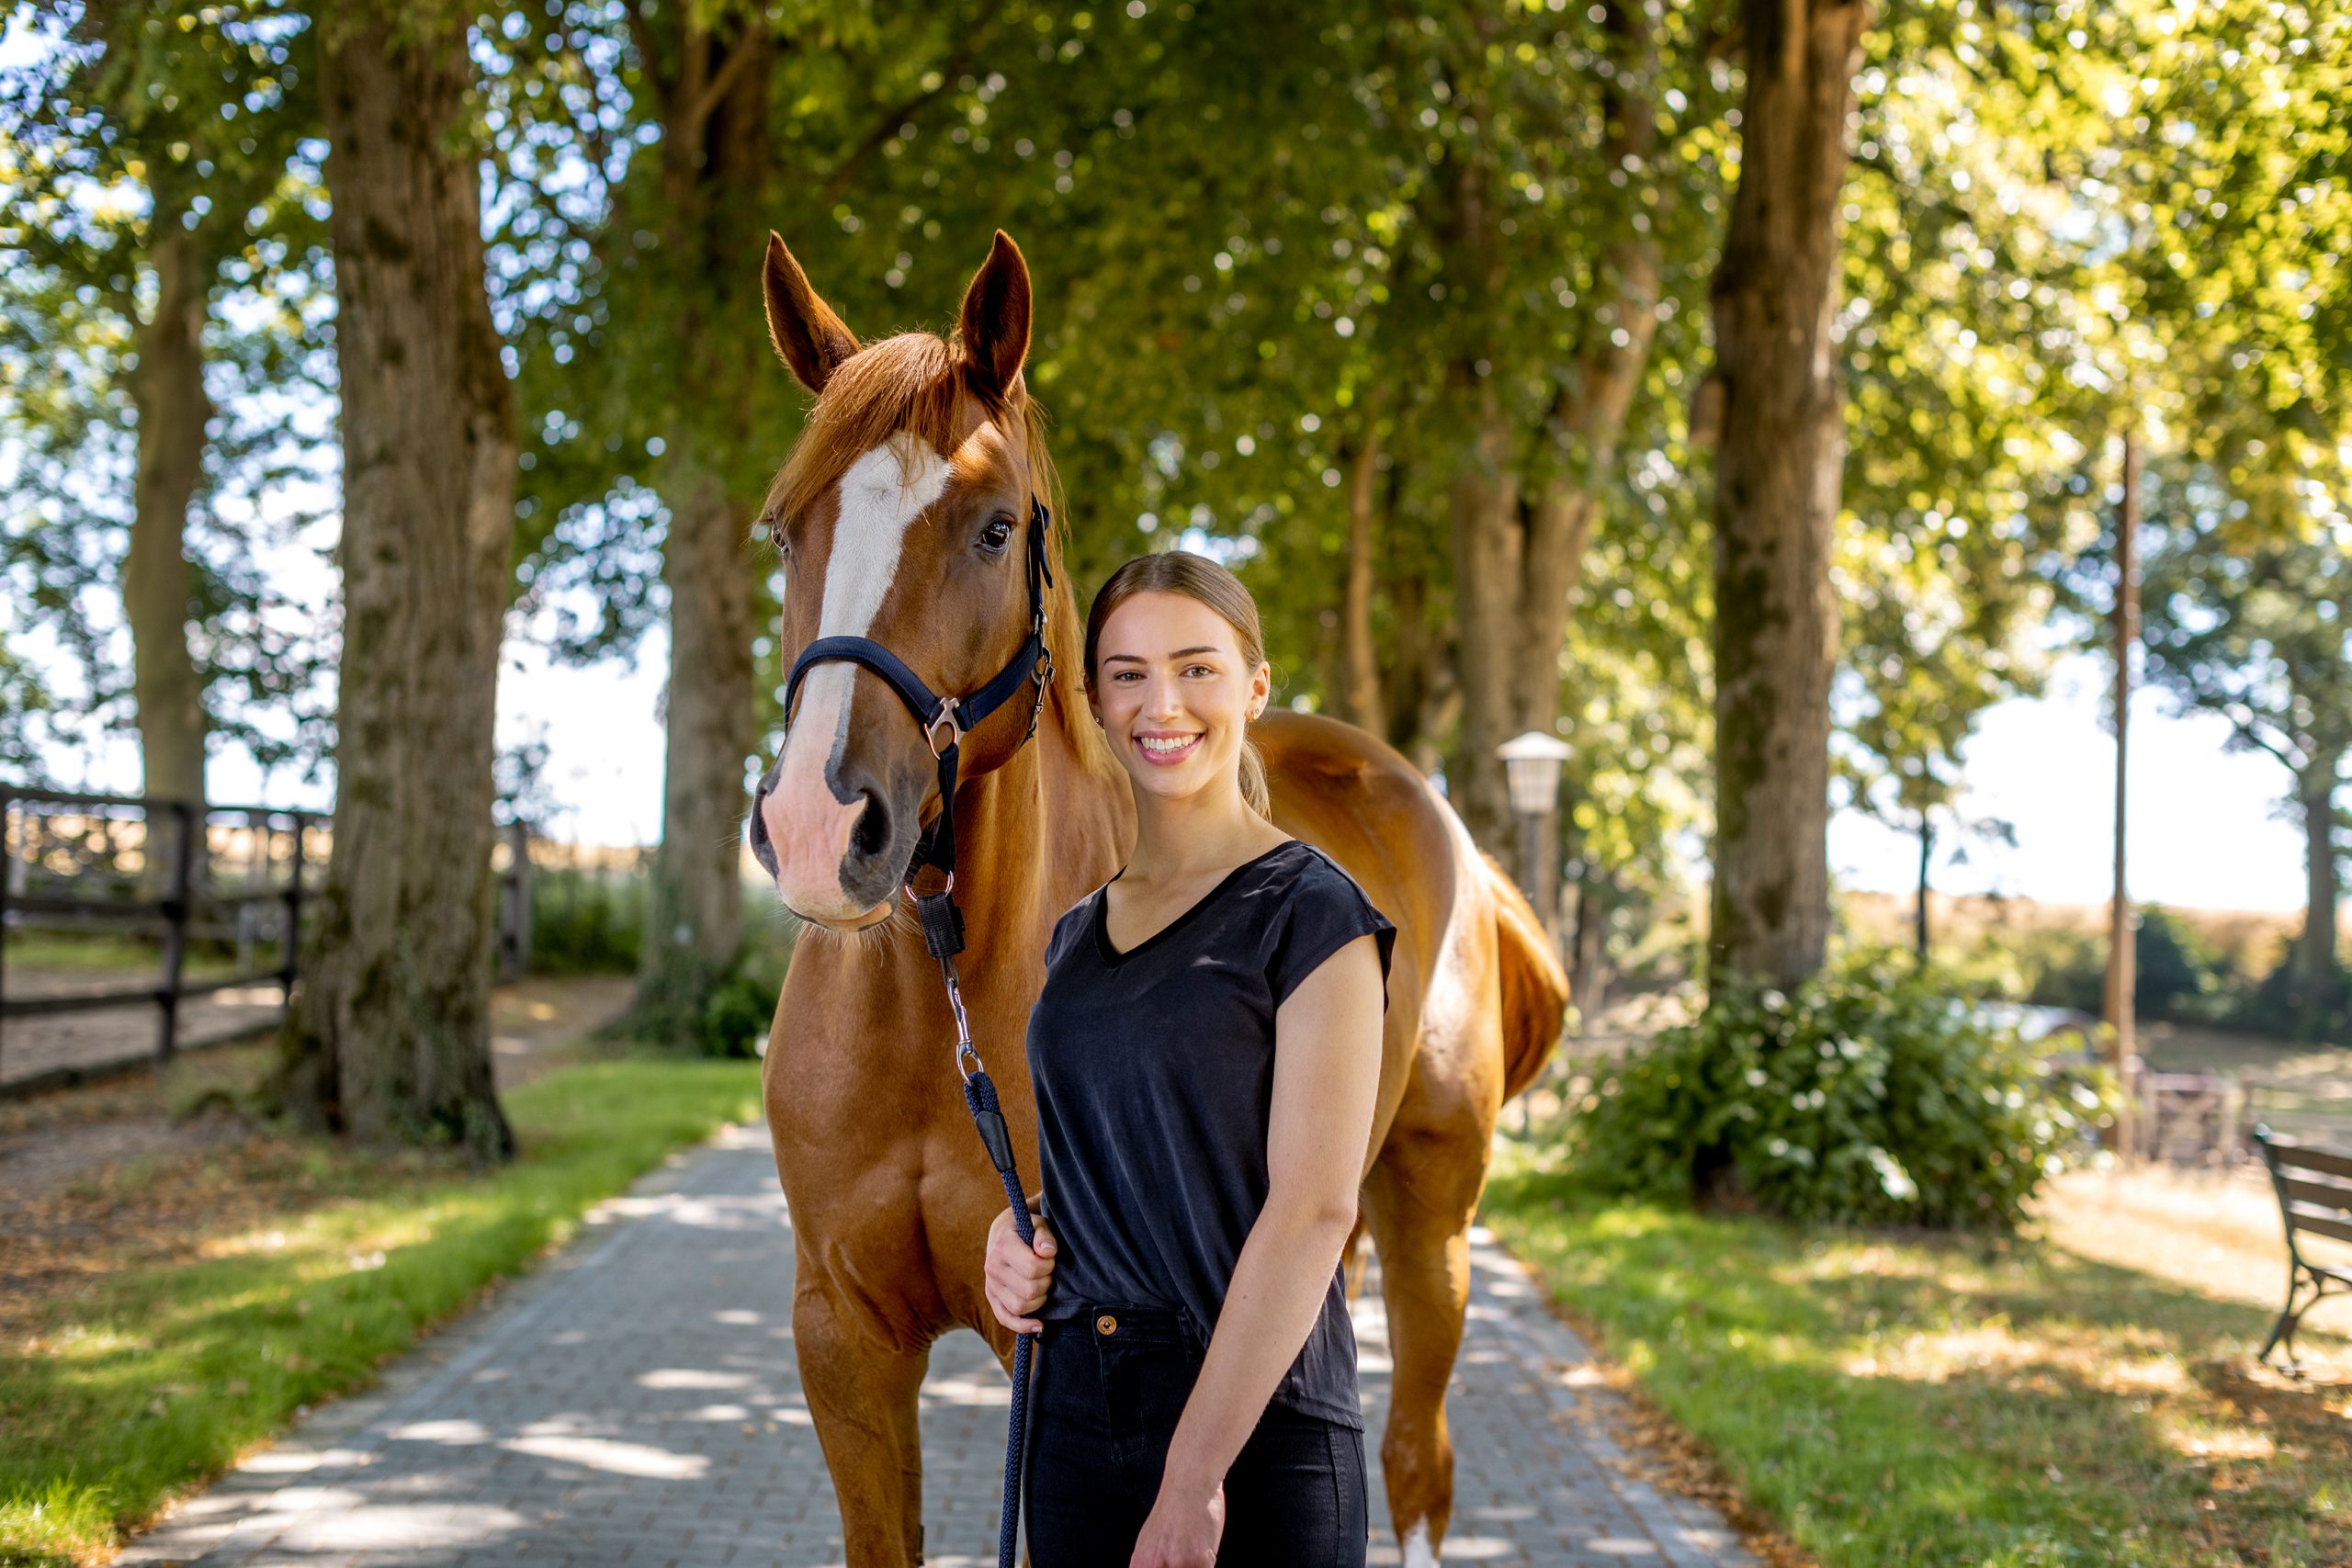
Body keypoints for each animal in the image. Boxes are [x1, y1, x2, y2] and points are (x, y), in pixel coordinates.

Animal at [748, 223, 1561, 1568]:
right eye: (782, 532)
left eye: (994, 527)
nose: (821, 826)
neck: (940, 1010)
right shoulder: (841, 1337)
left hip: (1430, 1218)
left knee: (1413, 1463)